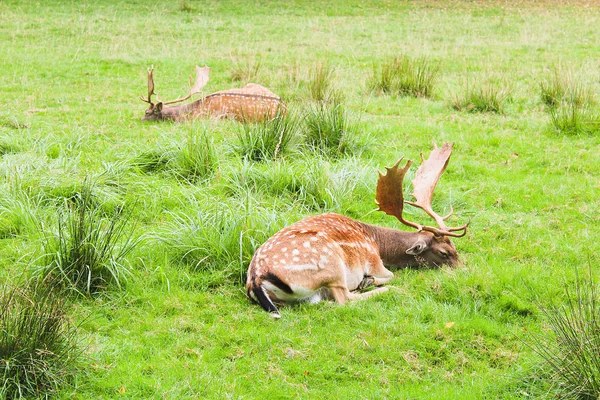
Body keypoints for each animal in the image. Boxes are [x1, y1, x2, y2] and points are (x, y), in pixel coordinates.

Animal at [246, 142, 472, 318]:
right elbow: (391, 274)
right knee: (345, 299)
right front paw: (369, 280)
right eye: (444, 253)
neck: (377, 241)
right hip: (331, 264)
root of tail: (256, 279)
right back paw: (382, 289)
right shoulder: (374, 260)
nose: (464, 270)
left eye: (455, 248)